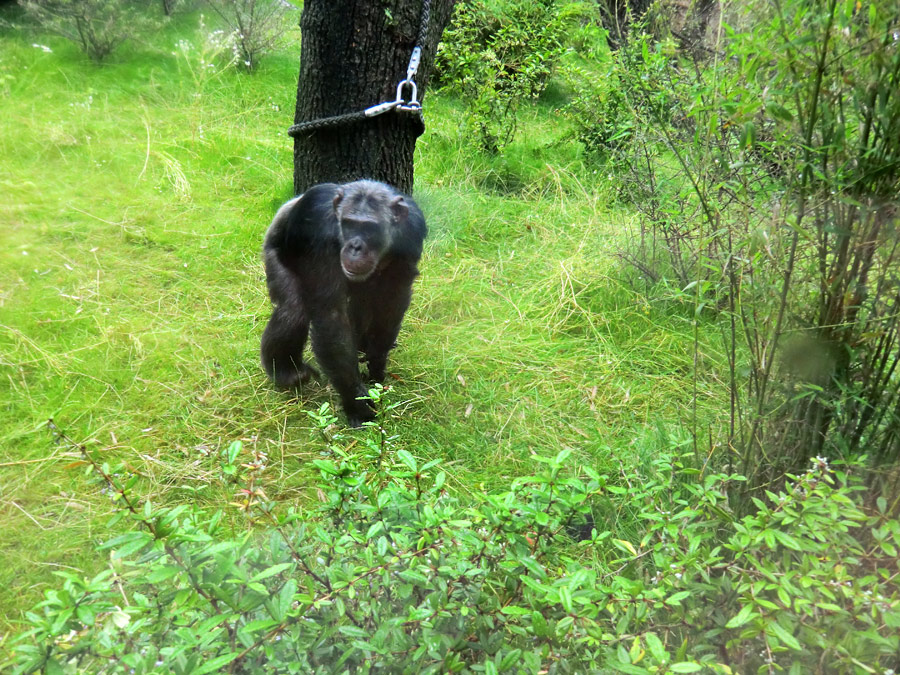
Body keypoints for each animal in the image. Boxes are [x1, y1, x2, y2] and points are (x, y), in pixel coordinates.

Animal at [260, 177, 428, 426]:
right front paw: (357, 403)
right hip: (273, 251)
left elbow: (392, 299)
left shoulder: (412, 233)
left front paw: (377, 366)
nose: (355, 247)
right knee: (293, 311)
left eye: (369, 228)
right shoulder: (319, 233)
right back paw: (286, 373)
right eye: (349, 224)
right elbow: (331, 317)